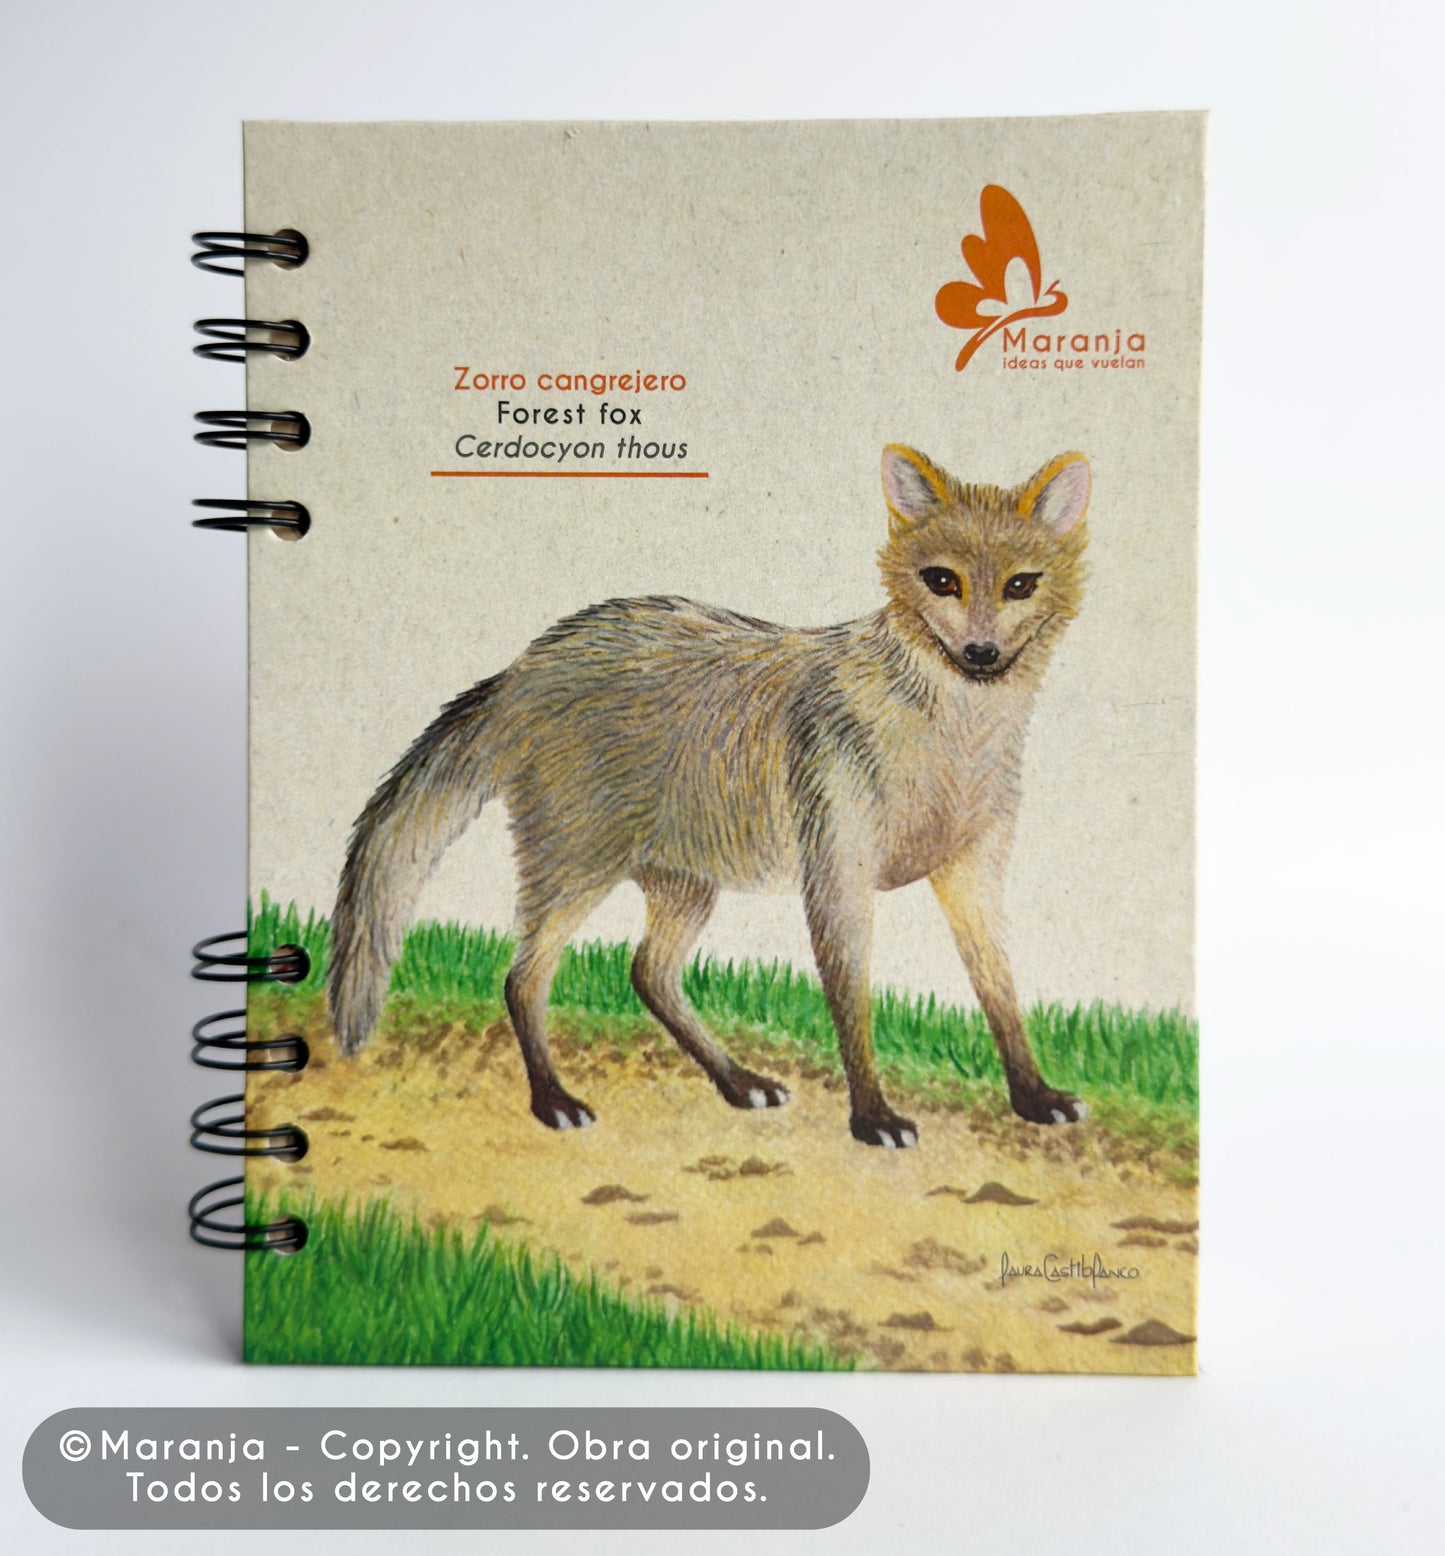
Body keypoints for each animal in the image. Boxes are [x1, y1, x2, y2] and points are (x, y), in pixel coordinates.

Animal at [328, 445, 1092, 1147]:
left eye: (1020, 584)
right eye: (942, 580)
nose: (981, 654)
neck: (954, 745)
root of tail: (523, 666)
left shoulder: (971, 875)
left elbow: (1000, 992)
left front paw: (1033, 1096)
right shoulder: (838, 880)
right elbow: (854, 1005)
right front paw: (872, 1116)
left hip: (684, 888)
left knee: (647, 974)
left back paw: (735, 1081)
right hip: (575, 873)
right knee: (523, 978)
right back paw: (553, 1101)